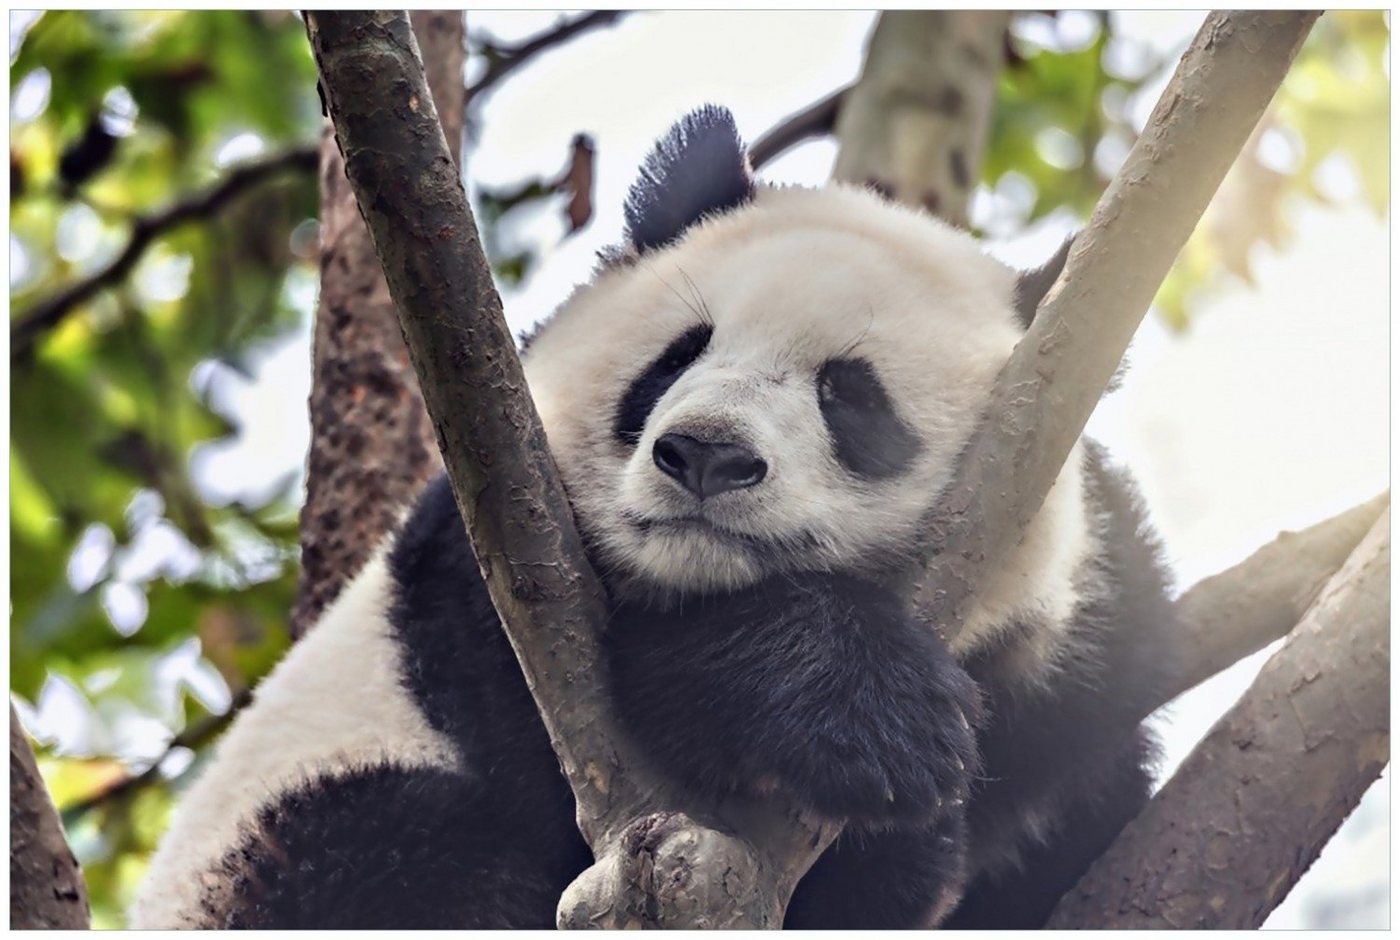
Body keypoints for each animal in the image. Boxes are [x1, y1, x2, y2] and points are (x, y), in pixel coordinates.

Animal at [133, 106, 1181, 930]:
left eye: (850, 396)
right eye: (679, 355)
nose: (705, 454)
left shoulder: (1077, 661)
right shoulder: (490, 536)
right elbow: (560, 712)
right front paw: (862, 715)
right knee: (400, 852)